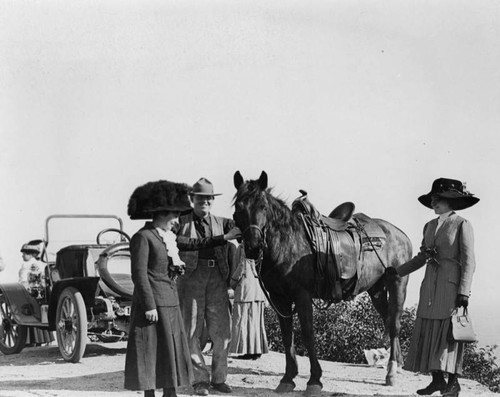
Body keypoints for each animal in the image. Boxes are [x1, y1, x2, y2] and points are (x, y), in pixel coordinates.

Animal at [232, 171, 412, 396]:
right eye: (238, 207)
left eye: (263, 206)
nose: (254, 247)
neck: (288, 243)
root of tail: (400, 234)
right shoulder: (279, 298)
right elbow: (287, 335)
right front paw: (287, 378)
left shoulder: (302, 295)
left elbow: (308, 334)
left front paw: (314, 380)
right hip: (377, 290)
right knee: (388, 318)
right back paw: (398, 364)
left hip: (397, 283)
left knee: (395, 323)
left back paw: (392, 372)